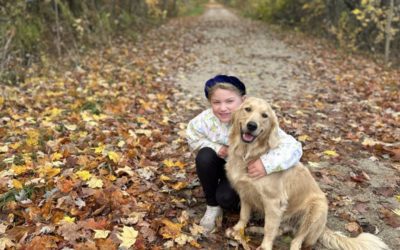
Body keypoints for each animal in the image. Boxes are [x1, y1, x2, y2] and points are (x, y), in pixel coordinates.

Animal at [225, 97, 390, 250]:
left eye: (264, 115)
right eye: (247, 109)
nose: (252, 125)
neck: (249, 154)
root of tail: (324, 227)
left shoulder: (274, 202)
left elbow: (269, 228)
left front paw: (264, 246)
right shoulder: (245, 192)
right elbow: (244, 215)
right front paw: (238, 230)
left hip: (315, 210)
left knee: (297, 240)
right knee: (281, 230)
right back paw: (255, 229)